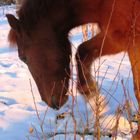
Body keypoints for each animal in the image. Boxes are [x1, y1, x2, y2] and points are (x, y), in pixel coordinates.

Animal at [6, 0, 140, 138]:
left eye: (23, 58)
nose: (50, 103)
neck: (100, 4)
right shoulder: (119, 39)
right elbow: (83, 52)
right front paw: (91, 94)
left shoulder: (126, 39)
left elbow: (137, 90)